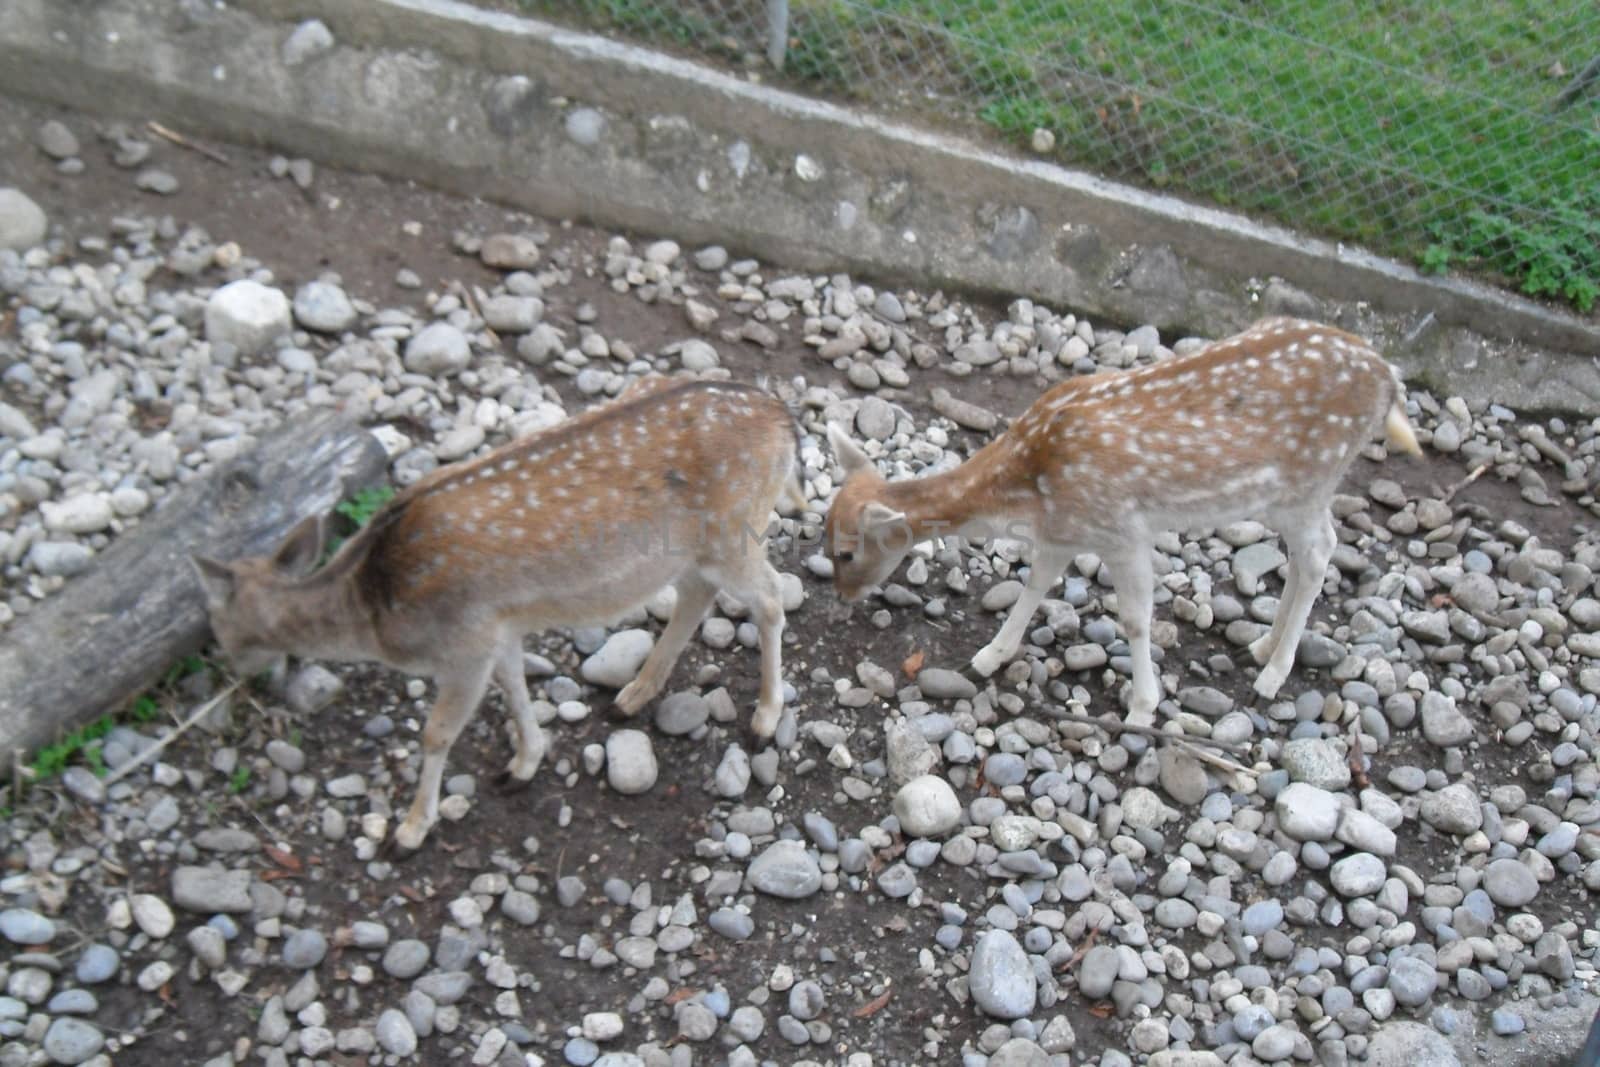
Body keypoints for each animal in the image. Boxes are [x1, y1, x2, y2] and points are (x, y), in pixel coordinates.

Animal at [195, 379, 806, 857]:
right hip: (691, 552)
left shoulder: (463, 643)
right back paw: (632, 696)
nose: (235, 675)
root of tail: (783, 417)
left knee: (771, 597)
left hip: (735, 530)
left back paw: (763, 719)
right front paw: (522, 765)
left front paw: (408, 832)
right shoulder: (497, 629)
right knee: (696, 594)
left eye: (219, 629)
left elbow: (436, 733)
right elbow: (513, 684)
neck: (376, 608)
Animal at [832, 313, 1420, 723]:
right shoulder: (1062, 531)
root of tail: (1391, 378)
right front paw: (989, 656)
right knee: (1304, 557)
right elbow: (1033, 585)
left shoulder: (1122, 530)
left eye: (845, 551)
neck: (1028, 489)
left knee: (1321, 552)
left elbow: (1136, 618)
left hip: (1311, 481)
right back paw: (1263, 646)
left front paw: (1142, 707)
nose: (843, 597)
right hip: (1288, 496)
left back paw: (1274, 675)